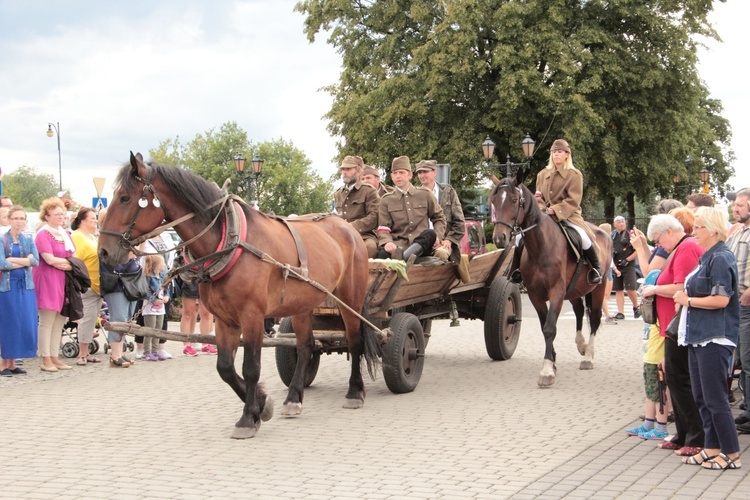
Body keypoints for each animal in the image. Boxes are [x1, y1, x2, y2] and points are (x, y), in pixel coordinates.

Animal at [98, 152, 382, 438]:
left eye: (125, 198)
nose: (103, 252)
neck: (229, 243)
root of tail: (347, 228)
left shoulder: (252, 316)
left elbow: (251, 367)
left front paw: (248, 417)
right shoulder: (224, 319)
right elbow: (225, 367)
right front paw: (262, 404)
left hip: (349, 297)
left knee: (355, 341)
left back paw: (354, 392)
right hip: (301, 303)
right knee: (306, 347)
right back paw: (293, 398)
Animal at [490, 171, 612, 386]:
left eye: (514, 200)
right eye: (495, 201)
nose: (499, 238)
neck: (541, 245)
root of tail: (603, 232)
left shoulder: (556, 292)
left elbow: (549, 328)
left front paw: (547, 370)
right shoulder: (535, 295)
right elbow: (544, 326)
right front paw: (552, 362)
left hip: (599, 287)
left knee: (595, 318)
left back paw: (588, 356)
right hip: (575, 290)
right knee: (579, 311)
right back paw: (581, 344)